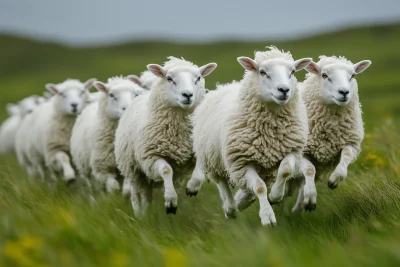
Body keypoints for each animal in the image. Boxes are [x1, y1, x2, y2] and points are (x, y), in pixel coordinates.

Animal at [114, 57, 217, 218]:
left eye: (198, 78)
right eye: (169, 78)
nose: (187, 95)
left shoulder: (199, 148)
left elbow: (200, 169)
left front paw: (192, 186)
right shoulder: (151, 156)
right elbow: (166, 170)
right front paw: (170, 201)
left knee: (147, 195)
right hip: (132, 168)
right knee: (137, 194)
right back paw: (140, 215)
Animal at [186, 47, 314, 227]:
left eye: (293, 72)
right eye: (262, 72)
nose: (284, 90)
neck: (270, 131)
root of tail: (224, 86)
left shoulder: (291, 151)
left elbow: (285, 171)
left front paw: (275, 195)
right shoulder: (242, 162)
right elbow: (259, 187)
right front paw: (267, 216)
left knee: (248, 189)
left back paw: (242, 202)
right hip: (214, 159)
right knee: (222, 183)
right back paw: (231, 209)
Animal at [284, 55, 372, 213]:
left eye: (353, 75)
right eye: (324, 75)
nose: (344, 92)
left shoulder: (350, 143)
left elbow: (346, 155)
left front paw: (335, 179)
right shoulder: (303, 152)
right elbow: (309, 170)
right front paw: (311, 197)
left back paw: (297, 207)